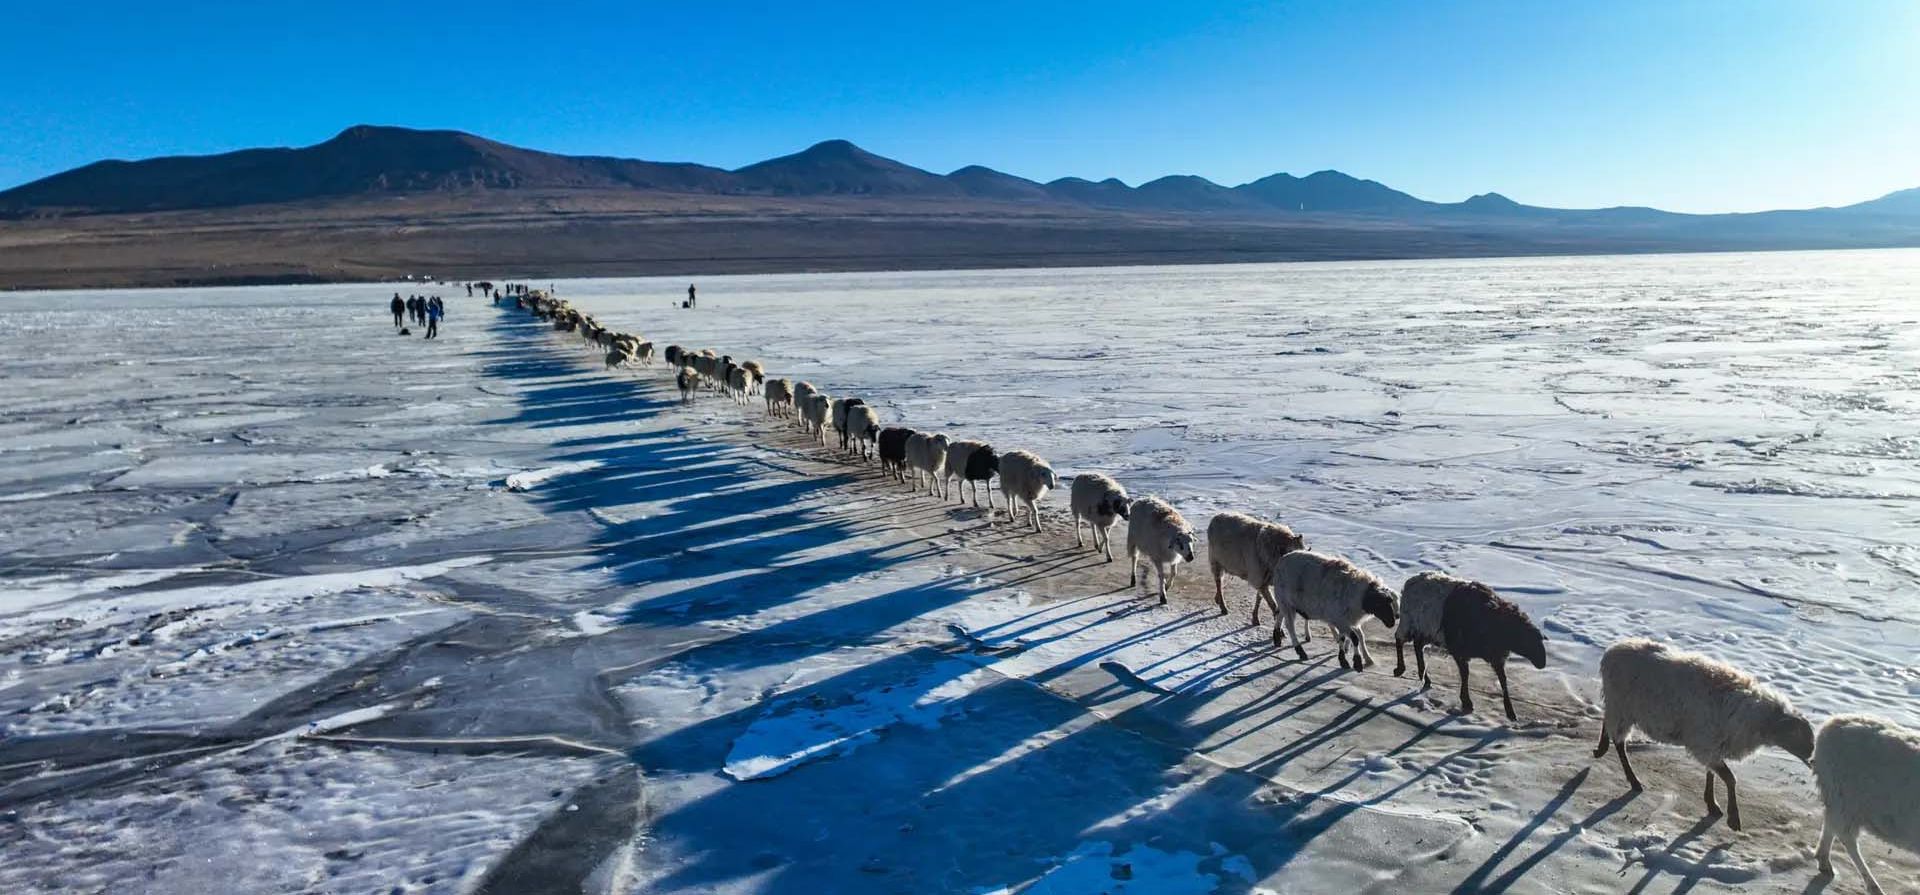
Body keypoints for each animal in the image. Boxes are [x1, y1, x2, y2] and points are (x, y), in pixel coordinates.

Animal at [1270, 551, 1399, 670]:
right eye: (1379, 603)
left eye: (1391, 602)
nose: (1392, 622)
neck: (1360, 595)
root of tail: (1281, 561)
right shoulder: (1340, 620)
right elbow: (1354, 638)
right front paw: (1356, 662)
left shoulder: (1343, 620)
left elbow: (1346, 637)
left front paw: (1344, 659)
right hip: (1287, 602)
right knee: (1290, 626)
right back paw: (1300, 651)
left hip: (1285, 602)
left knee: (1279, 615)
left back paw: (1277, 638)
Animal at [1392, 572, 1547, 721]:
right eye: (1527, 639)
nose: (1542, 663)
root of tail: (1410, 581)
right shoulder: (1460, 650)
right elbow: (1465, 674)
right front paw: (1467, 702)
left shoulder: (1496, 656)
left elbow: (1503, 679)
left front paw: (1510, 712)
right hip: (1408, 622)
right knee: (1399, 639)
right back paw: (1400, 669)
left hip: (1426, 631)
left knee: (1418, 646)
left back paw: (1425, 678)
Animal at [1593, 638, 1815, 831]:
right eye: (1800, 736)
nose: (1813, 760)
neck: (1758, 718)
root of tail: (1613, 649)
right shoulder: (1705, 743)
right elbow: (1730, 779)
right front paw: (1733, 818)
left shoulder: (1712, 745)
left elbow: (1712, 773)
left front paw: (1712, 803)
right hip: (1621, 706)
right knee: (1619, 742)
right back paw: (1633, 779)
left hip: (1617, 705)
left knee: (1607, 721)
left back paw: (1602, 749)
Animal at [1813, 714, 1920, 895]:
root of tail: (1829, 725)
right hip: (1845, 800)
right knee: (1847, 839)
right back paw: (1873, 886)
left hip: (1837, 800)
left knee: (1830, 826)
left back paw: (1824, 862)